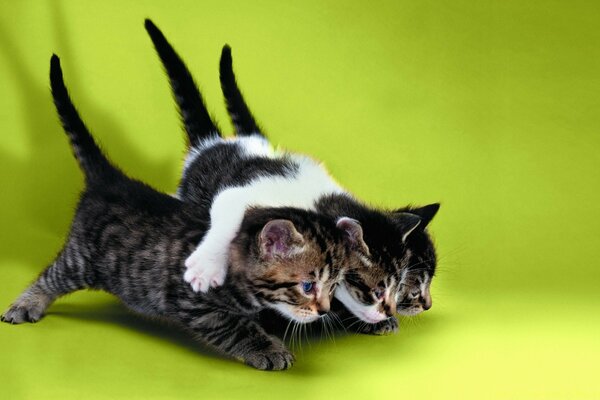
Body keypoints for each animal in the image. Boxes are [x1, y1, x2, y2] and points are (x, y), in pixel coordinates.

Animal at [1, 54, 360, 370]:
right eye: (308, 286)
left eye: (334, 287)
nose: (324, 310)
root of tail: (113, 181)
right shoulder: (197, 304)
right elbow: (236, 328)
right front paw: (269, 349)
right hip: (82, 259)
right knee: (51, 275)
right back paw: (26, 303)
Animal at [145, 21, 440, 334]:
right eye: (377, 290)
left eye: (399, 287)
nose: (390, 311)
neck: (320, 201)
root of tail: (211, 143)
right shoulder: (249, 192)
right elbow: (229, 208)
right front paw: (206, 266)